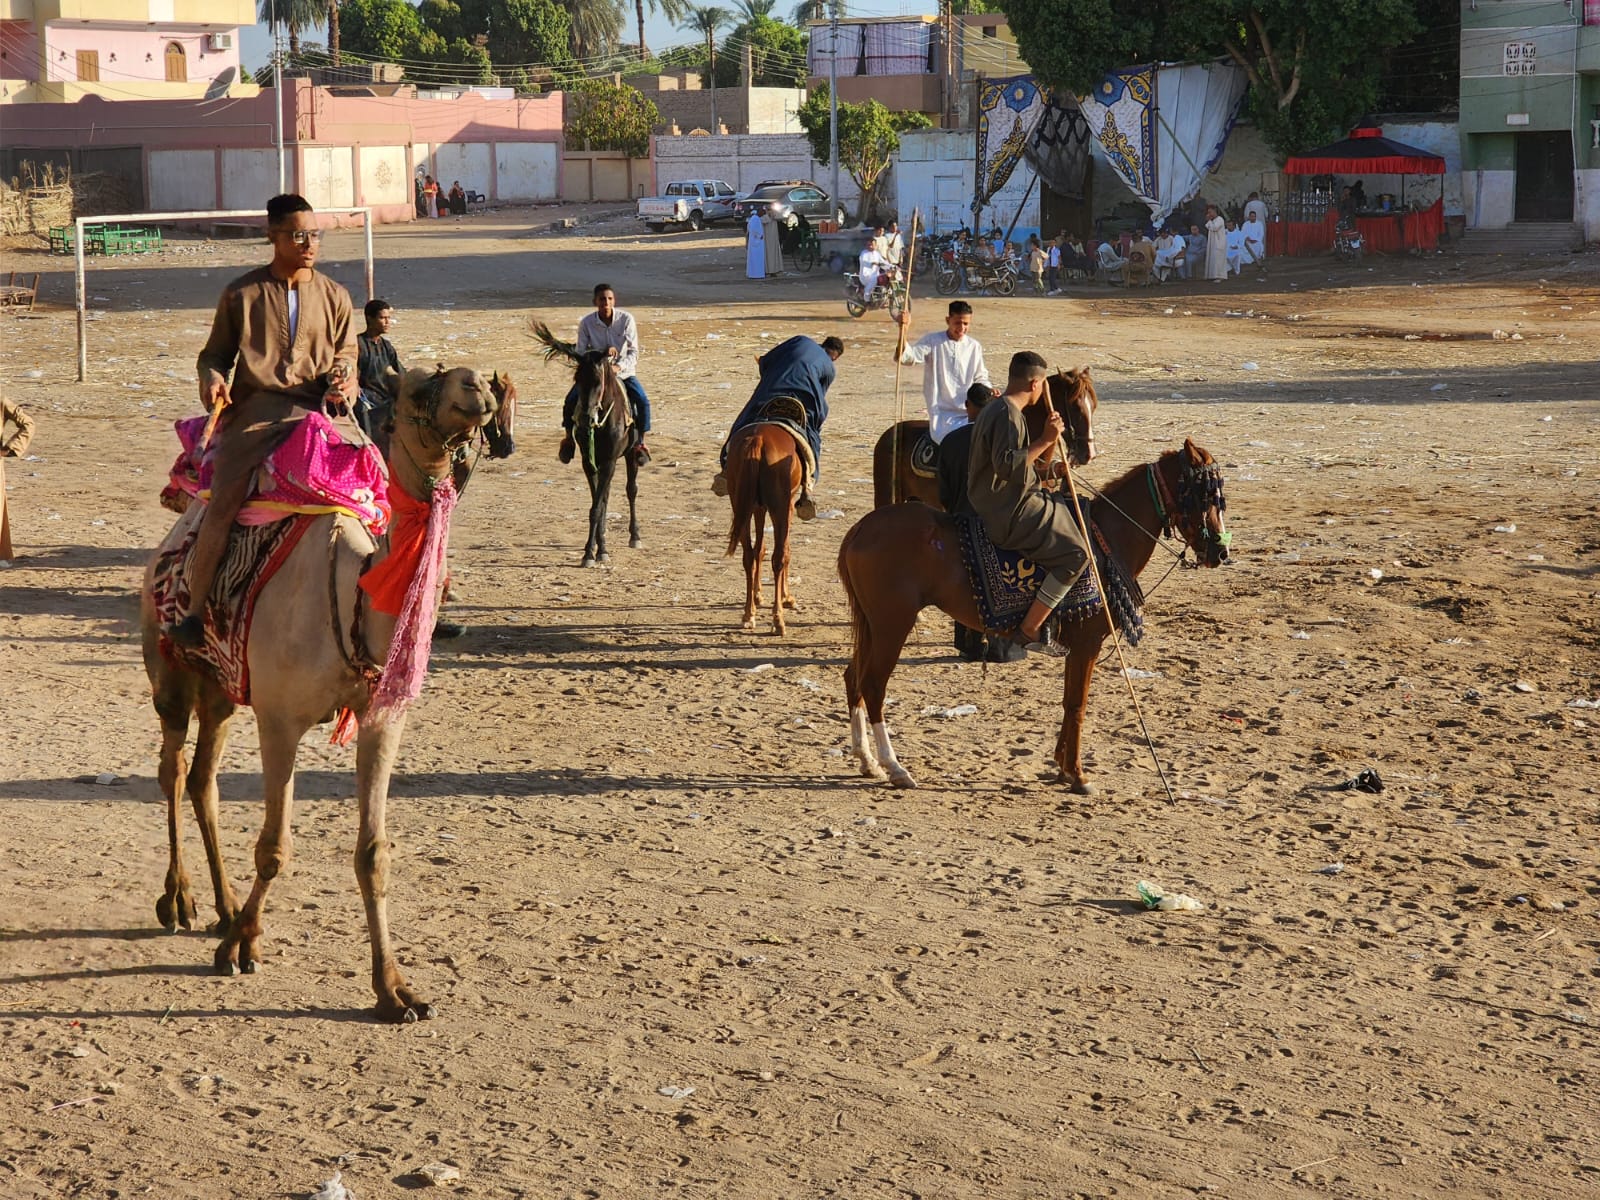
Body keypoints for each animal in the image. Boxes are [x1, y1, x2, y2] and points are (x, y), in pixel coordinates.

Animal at [146, 366, 505, 1024]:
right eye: (417, 388)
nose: (477, 387)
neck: (354, 599)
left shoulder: (381, 719)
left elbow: (374, 855)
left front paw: (395, 991)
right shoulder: (280, 719)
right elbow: (274, 848)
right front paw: (242, 948)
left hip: (223, 689)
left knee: (204, 778)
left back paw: (224, 906)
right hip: (170, 673)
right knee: (173, 767)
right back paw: (180, 901)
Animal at [534, 321, 640, 569]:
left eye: (599, 382)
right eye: (576, 380)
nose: (584, 420)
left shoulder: (610, 461)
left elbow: (600, 504)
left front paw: (597, 551)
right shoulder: (589, 462)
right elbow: (596, 506)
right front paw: (592, 551)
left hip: (631, 454)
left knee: (631, 490)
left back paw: (634, 536)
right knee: (606, 497)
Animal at [726, 419, 806, 633]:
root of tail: (758, 439)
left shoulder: (757, 506)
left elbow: (759, 549)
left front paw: (757, 595)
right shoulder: (788, 507)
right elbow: (785, 550)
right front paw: (787, 597)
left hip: (740, 504)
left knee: (747, 555)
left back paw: (748, 614)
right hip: (779, 506)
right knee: (778, 557)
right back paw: (778, 619)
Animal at [844, 441, 1228, 800]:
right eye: (1206, 494)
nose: (1220, 552)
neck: (1105, 539)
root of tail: (860, 529)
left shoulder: (1078, 647)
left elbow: (1069, 702)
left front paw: (1063, 767)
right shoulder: (1088, 643)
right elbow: (1077, 704)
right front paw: (1077, 774)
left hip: (874, 626)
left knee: (853, 679)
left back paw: (867, 761)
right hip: (893, 625)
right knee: (873, 686)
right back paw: (895, 767)